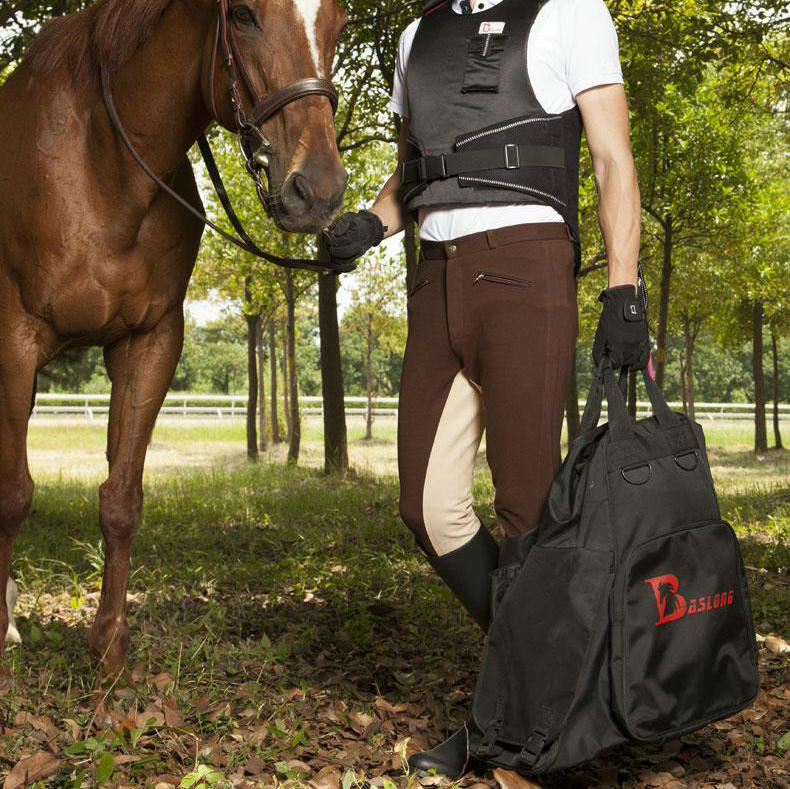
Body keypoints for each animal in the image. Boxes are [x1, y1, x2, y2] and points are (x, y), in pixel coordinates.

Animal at [0, 0, 348, 677]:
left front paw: (108, 648)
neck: (99, 166)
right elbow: (13, 495)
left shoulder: (150, 342)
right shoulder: (14, 339)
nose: (317, 190)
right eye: (243, 15)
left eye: (339, 21)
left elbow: (121, 499)